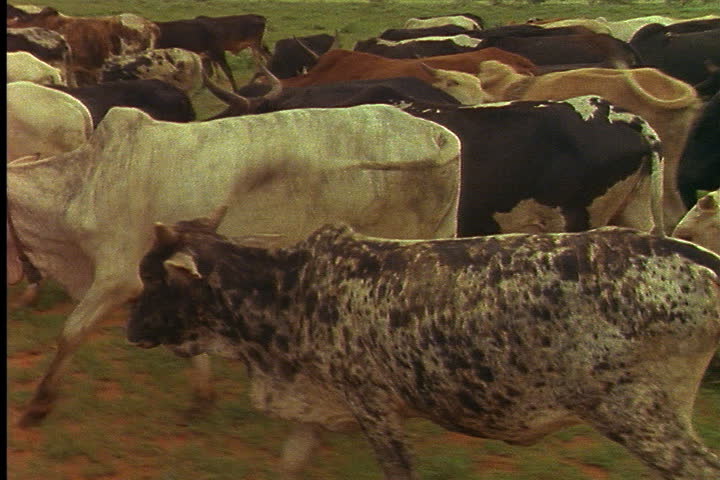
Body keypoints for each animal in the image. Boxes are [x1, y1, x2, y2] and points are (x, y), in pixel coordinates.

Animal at [7, 104, 462, 427]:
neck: (80, 186)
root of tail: (437, 135)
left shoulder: (118, 278)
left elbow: (70, 333)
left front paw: (38, 406)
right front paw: (201, 399)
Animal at [126, 208, 720, 480]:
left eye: (153, 277)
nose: (130, 326)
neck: (291, 288)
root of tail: (691, 254)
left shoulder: (373, 404)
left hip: (638, 415)